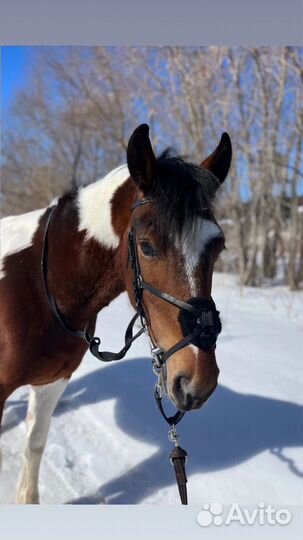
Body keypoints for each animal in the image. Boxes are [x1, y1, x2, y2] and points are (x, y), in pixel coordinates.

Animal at [0, 123, 233, 502]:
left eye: (219, 246)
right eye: (147, 246)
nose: (198, 380)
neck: (37, 282)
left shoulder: (52, 382)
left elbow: (34, 445)